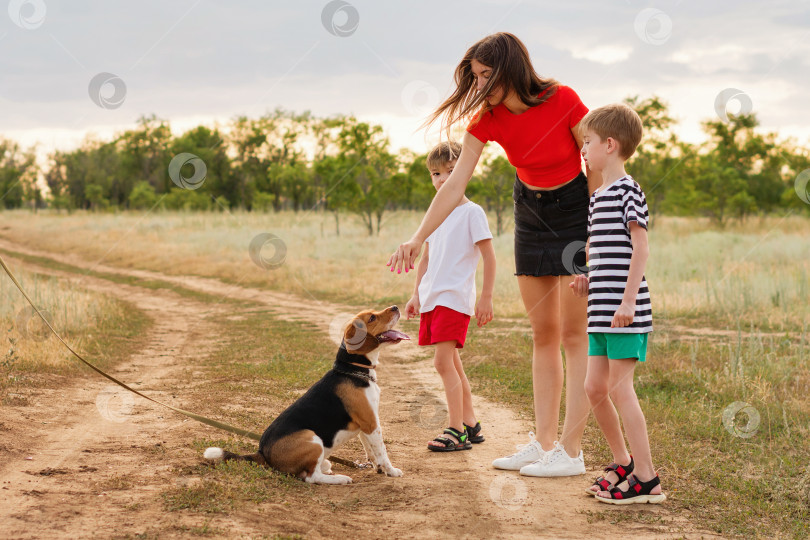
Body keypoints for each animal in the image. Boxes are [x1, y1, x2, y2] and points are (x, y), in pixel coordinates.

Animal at [202, 304, 404, 486]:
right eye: (372, 318)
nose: (395, 307)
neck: (352, 370)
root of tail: (262, 452)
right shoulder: (371, 424)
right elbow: (382, 451)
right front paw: (391, 471)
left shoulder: (366, 424)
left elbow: (371, 450)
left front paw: (378, 468)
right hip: (312, 438)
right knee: (311, 477)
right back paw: (339, 478)